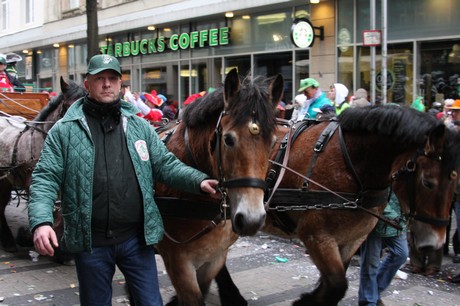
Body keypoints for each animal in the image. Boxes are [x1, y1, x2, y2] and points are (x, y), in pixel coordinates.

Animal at [155, 69, 282, 306]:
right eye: (228, 139)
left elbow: (205, 286)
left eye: (272, 142)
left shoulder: (214, 257)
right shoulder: (177, 262)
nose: (251, 219)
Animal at [159, 103, 460, 306]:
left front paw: (311, 297)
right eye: (428, 182)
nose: (434, 243)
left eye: (455, 181)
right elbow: (337, 283)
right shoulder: (317, 236)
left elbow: (335, 281)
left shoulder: (353, 239)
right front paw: (306, 301)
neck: (351, 163)